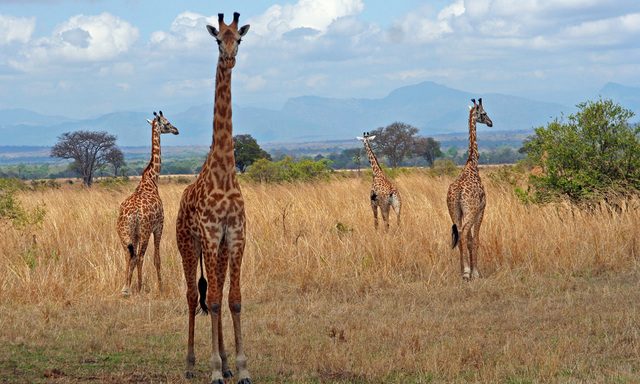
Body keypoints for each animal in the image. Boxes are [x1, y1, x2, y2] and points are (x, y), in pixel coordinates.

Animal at [116, 109, 178, 296]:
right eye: (167, 122)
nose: (176, 130)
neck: (151, 180)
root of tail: (131, 215)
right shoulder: (159, 225)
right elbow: (157, 258)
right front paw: (160, 287)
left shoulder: (136, 234)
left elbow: (134, 257)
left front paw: (130, 285)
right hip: (144, 231)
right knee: (140, 256)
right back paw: (139, 286)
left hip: (124, 233)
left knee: (129, 255)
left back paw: (126, 287)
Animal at [444, 97, 496, 280]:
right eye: (484, 113)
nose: (491, 123)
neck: (472, 164)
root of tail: (458, 193)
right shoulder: (481, 209)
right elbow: (475, 240)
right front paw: (475, 272)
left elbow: (469, 239)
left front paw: (470, 270)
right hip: (469, 211)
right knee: (464, 233)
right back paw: (467, 272)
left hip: (454, 211)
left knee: (459, 233)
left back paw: (462, 271)